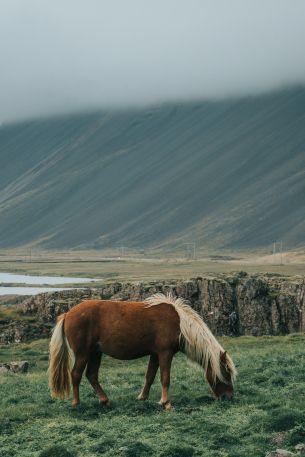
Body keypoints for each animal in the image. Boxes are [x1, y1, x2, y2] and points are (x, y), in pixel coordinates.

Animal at [48, 294, 236, 408]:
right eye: (226, 373)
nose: (229, 397)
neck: (180, 324)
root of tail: (67, 314)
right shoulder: (165, 353)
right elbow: (165, 378)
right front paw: (166, 403)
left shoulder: (155, 354)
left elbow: (150, 377)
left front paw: (142, 397)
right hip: (83, 354)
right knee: (76, 375)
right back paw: (76, 402)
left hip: (95, 353)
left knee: (91, 375)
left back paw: (104, 400)